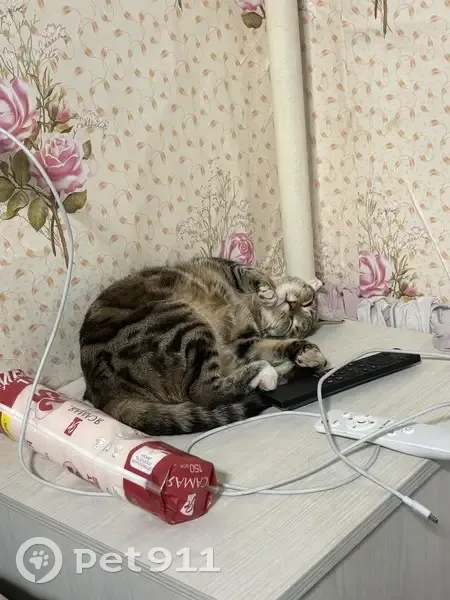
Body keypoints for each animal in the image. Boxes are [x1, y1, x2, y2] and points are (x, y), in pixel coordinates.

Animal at [79, 257, 327, 436]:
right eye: (306, 302)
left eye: (295, 321)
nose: (292, 304)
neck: (254, 308)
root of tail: (101, 390)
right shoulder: (223, 265)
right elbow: (250, 273)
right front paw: (267, 290)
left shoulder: (244, 343)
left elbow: (277, 346)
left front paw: (307, 353)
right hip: (182, 323)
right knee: (204, 390)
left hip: (185, 328)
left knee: (205, 391)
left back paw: (284, 372)